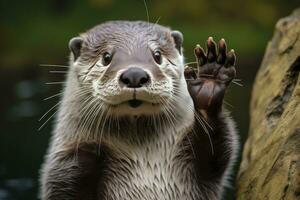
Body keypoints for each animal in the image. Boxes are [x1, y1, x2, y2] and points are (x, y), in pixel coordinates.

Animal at [39, 21, 238, 199]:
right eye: (106, 57)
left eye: (157, 55)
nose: (134, 74)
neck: (143, 156)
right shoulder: (67, 165)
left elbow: (218, 155)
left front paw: (210, 81)